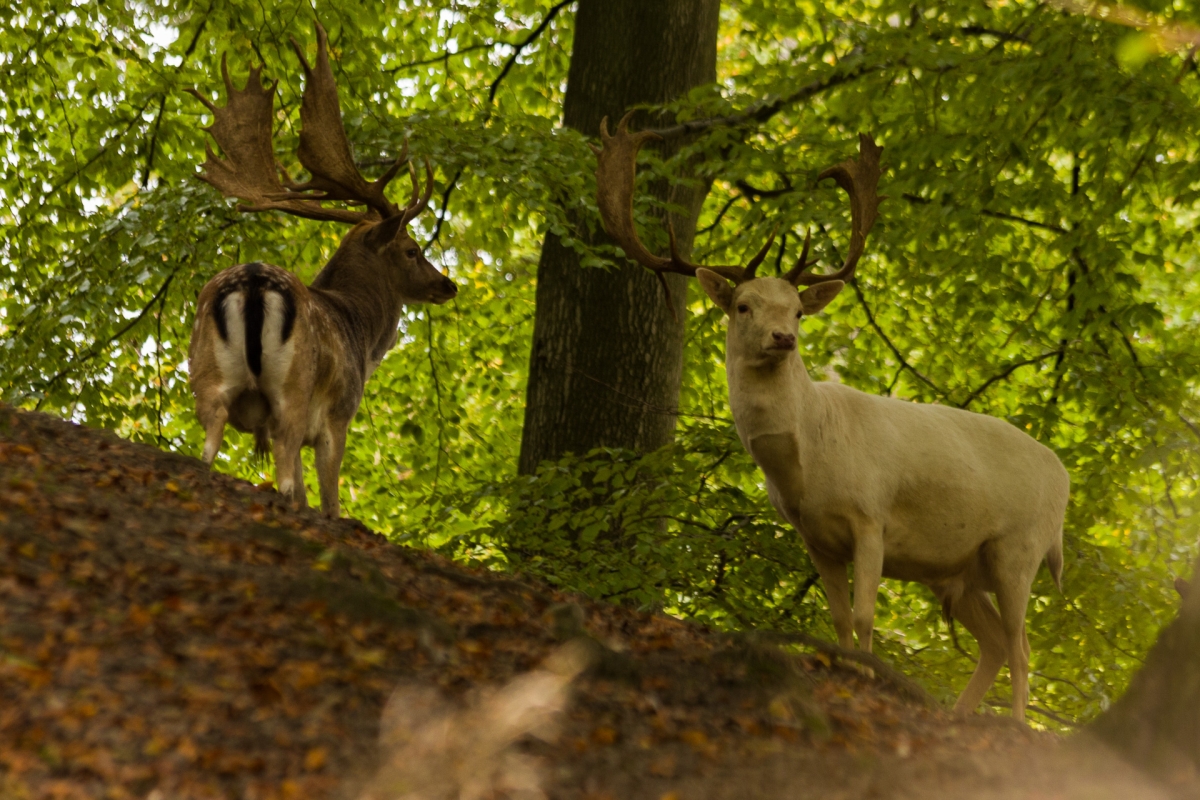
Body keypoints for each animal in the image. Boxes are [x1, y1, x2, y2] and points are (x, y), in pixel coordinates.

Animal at [187, 23, 453, 520]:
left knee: (208, 450)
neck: (362, 333)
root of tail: (253, 282)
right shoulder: (338, 414)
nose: (449, 284)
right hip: (290, 391)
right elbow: (328, 500)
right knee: (286, 474)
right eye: (411, 250)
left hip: (207, 376)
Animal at [590, 115, 1070, 724]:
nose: (783, 337)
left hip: (1019, 547)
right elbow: (839, 618)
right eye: (743, 305)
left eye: (797, 310)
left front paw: (869, 678)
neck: (805, 465)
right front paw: (850, 673)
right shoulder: (814, 538)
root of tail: (1065, 477)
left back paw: (1015, 726)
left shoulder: (872, 517)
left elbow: (865, 616)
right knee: (994, 644)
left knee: (1021, 645)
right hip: (961, 572)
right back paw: (958, 715)